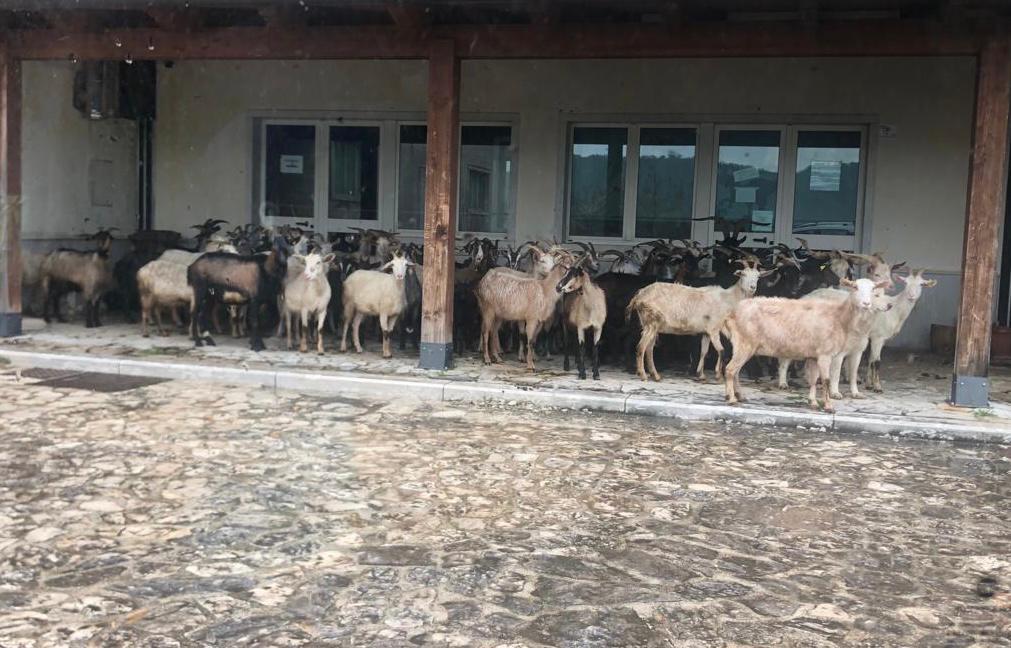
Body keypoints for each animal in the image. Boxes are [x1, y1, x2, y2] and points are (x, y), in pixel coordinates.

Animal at [626, 262, 767, 383]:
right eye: (743, 274)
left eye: (758, 276)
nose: (752, 287)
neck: (727, 299)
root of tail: (639, 296)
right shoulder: (714, 328)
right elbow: (721, 351)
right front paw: (718, 376)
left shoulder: (706, 332)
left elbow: (704, 352)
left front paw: (701, 375)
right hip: (651, 322)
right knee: (641, 347)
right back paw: (643, 375)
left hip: (650, 325)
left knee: (649, 349)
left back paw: (655, 375)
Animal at [723, 277, 891, 412]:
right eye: (855, 287)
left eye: (873, 289)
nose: (866, 303)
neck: (839, 318)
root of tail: (731, 314)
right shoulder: (825, 354)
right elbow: (826, 380)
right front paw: (828, 406)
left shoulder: (814, 356)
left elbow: (814, 379)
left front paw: (813, 402)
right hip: (744, 343)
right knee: (730, 369)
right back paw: (732, 399)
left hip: (742, 346)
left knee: (735, 371)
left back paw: (739, 396)